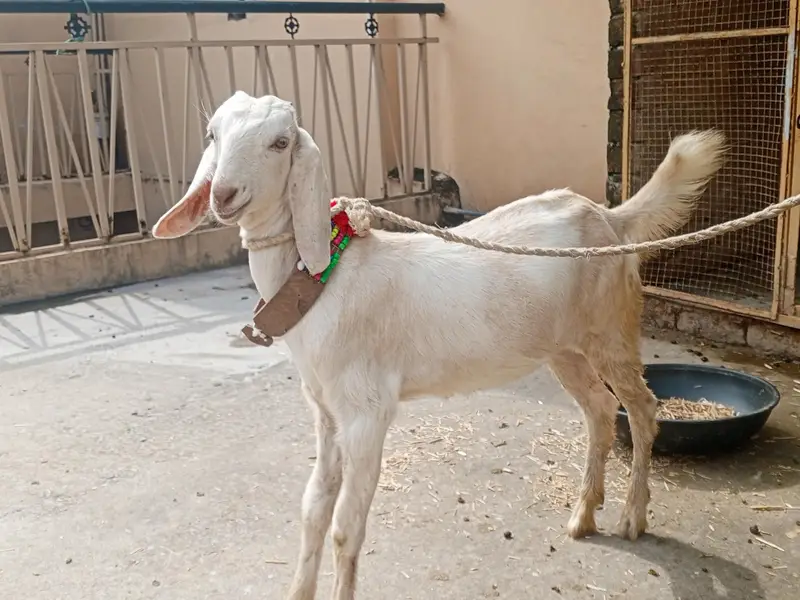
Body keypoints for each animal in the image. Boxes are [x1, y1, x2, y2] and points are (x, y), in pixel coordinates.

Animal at [152, 91, 726, 600]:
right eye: (212, 134)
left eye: (280, 142)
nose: (224, 195)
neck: (328, 281)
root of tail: (611, 218)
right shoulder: (325, 411)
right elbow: (313, 510)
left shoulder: (367, 412)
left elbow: (345, 526)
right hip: (563, 348)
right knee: (601, 410)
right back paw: (584, 515)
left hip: (610, 328)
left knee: (643, 408)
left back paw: (632, 516)